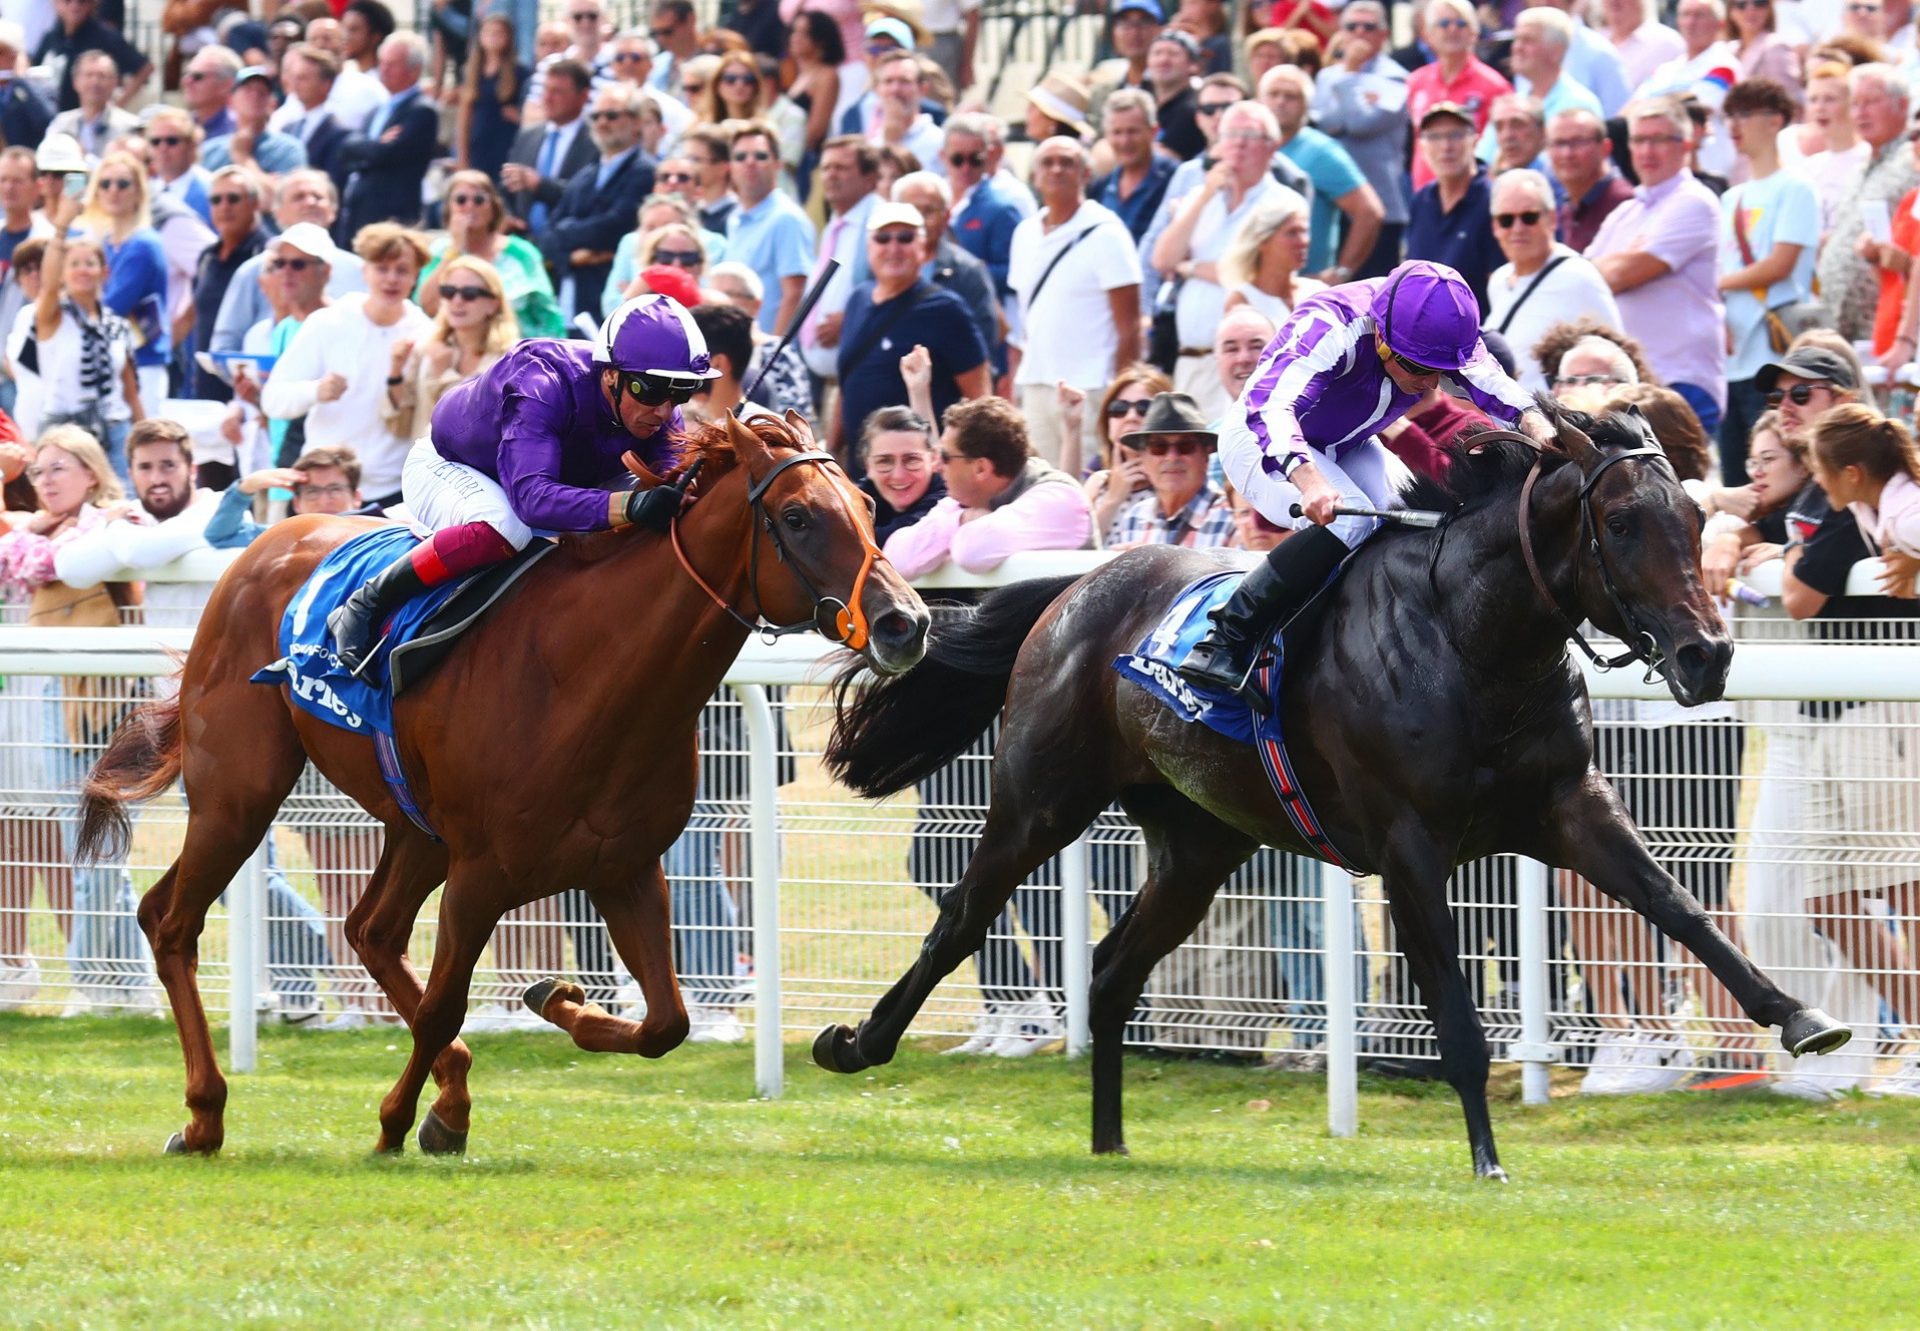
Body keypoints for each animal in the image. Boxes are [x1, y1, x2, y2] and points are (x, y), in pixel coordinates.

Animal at [78, 412, 933, 1152]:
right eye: (797, 516)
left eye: (865, 505)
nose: (906, 623)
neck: (587, 674)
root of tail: (266, 541)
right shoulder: (482, 872)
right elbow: (441, 1007)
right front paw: (399, 1121)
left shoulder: (625, 867)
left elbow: (667, 1023)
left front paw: (551, 1002)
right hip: (240, 791)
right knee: (171, 920)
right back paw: (204, 1115)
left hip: (414, 825)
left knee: (369, 929)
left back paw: (441, 1082)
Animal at [810, 401, 1843, 1175]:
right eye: (1623, 522)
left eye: (1700, 522)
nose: (1708, 656)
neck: (1472, 637)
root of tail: (1077, 586)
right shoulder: (1410, 845)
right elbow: (1455, 1013)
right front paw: (1487, 1158)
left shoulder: (1566, 806)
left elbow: (1680, 908)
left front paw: (1802, 1019)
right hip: (1041, 797)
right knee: (962, 919)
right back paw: (856, 1044)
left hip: (1200, 843)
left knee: (1110, 970)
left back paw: (1109, 1140)